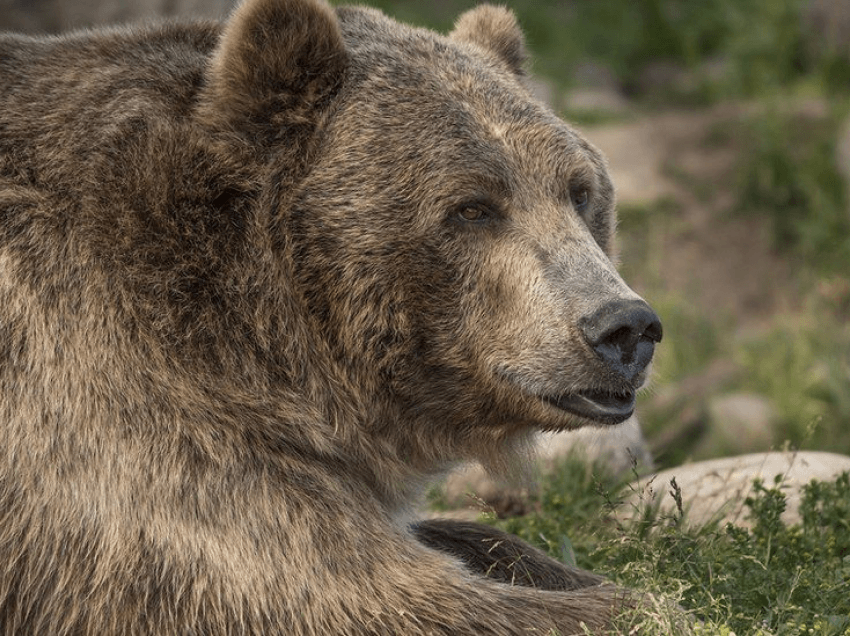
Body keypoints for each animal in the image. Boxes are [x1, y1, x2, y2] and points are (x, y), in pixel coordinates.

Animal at [0, 0, 664, 632]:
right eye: (472, 207)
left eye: (579, 191)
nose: (624, 327)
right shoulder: (115, 414)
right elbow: (362, 593)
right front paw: (637, 603)